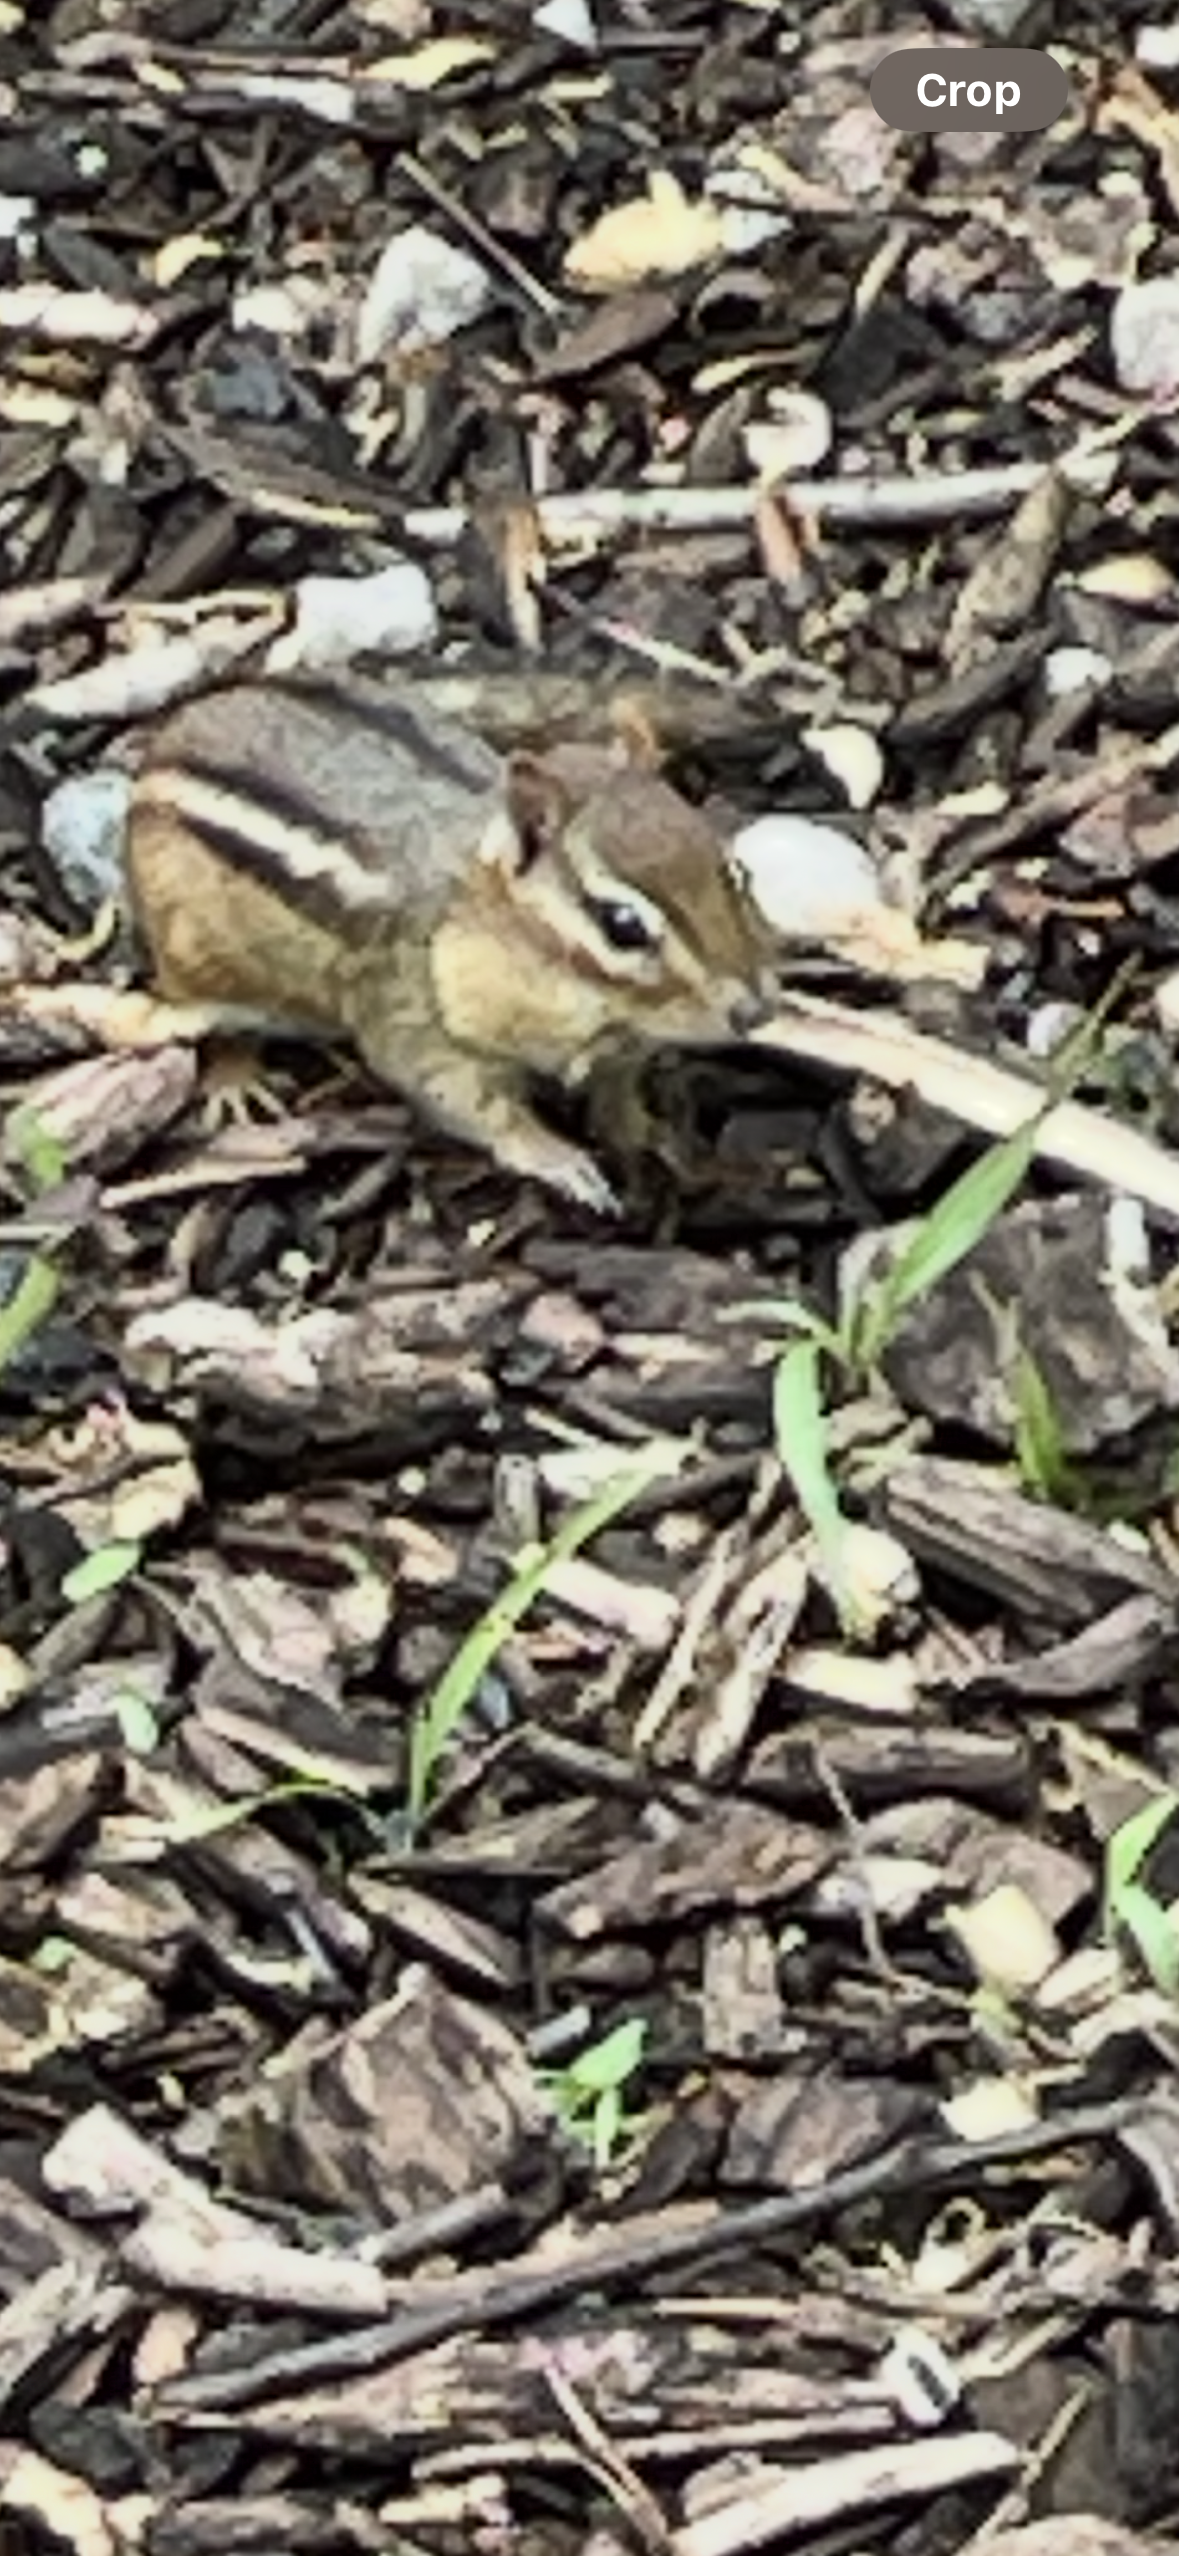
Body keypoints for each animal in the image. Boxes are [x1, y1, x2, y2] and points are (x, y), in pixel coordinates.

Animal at [122, 669, 777, 1212]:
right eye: (622, 925)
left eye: (733, 871)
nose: (756, 1011)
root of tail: (178, 725)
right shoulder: (418, 1023)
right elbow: (474, 1106)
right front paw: (560, 1160)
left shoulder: (622, 1047)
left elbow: (618, 1094)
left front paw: (649, 1136)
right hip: (194, 957)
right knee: (205, 1014)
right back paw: (235, 1079)